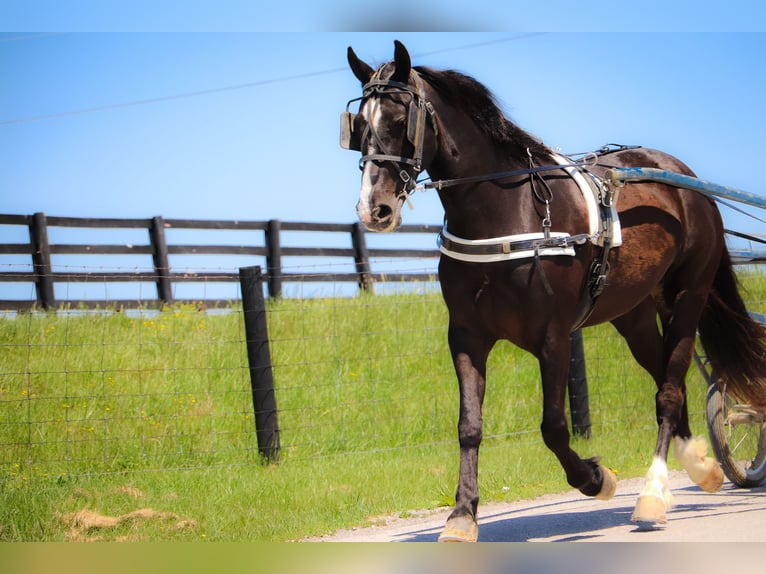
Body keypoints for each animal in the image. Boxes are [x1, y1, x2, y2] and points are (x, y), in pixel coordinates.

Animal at [342, 41, 766, 544]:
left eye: (399, 119)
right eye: (358, 125)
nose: (374, 209)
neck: (510, 214)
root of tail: (684, 178)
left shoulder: (554, 338)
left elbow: (554, 427)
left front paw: (597, 479)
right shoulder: (466, 336)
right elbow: (469, 426)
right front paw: (462, 516)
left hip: (688, 296)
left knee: (668, 390)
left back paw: (652, 495)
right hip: (635, 313)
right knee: (670, 381)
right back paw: (699, 467)